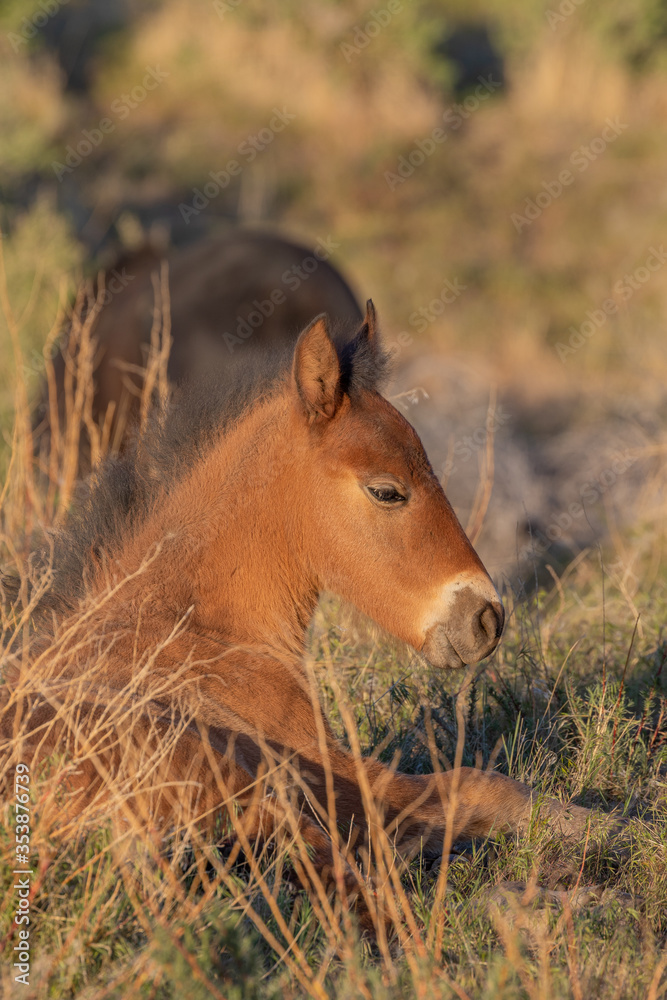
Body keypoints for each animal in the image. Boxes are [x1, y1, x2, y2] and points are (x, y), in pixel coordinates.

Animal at [3, 302, 601, 927]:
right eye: (387, 491)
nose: (486, 618)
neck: (189, 631)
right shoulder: (334, 769)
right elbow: (487, 786)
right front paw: (612, 827)